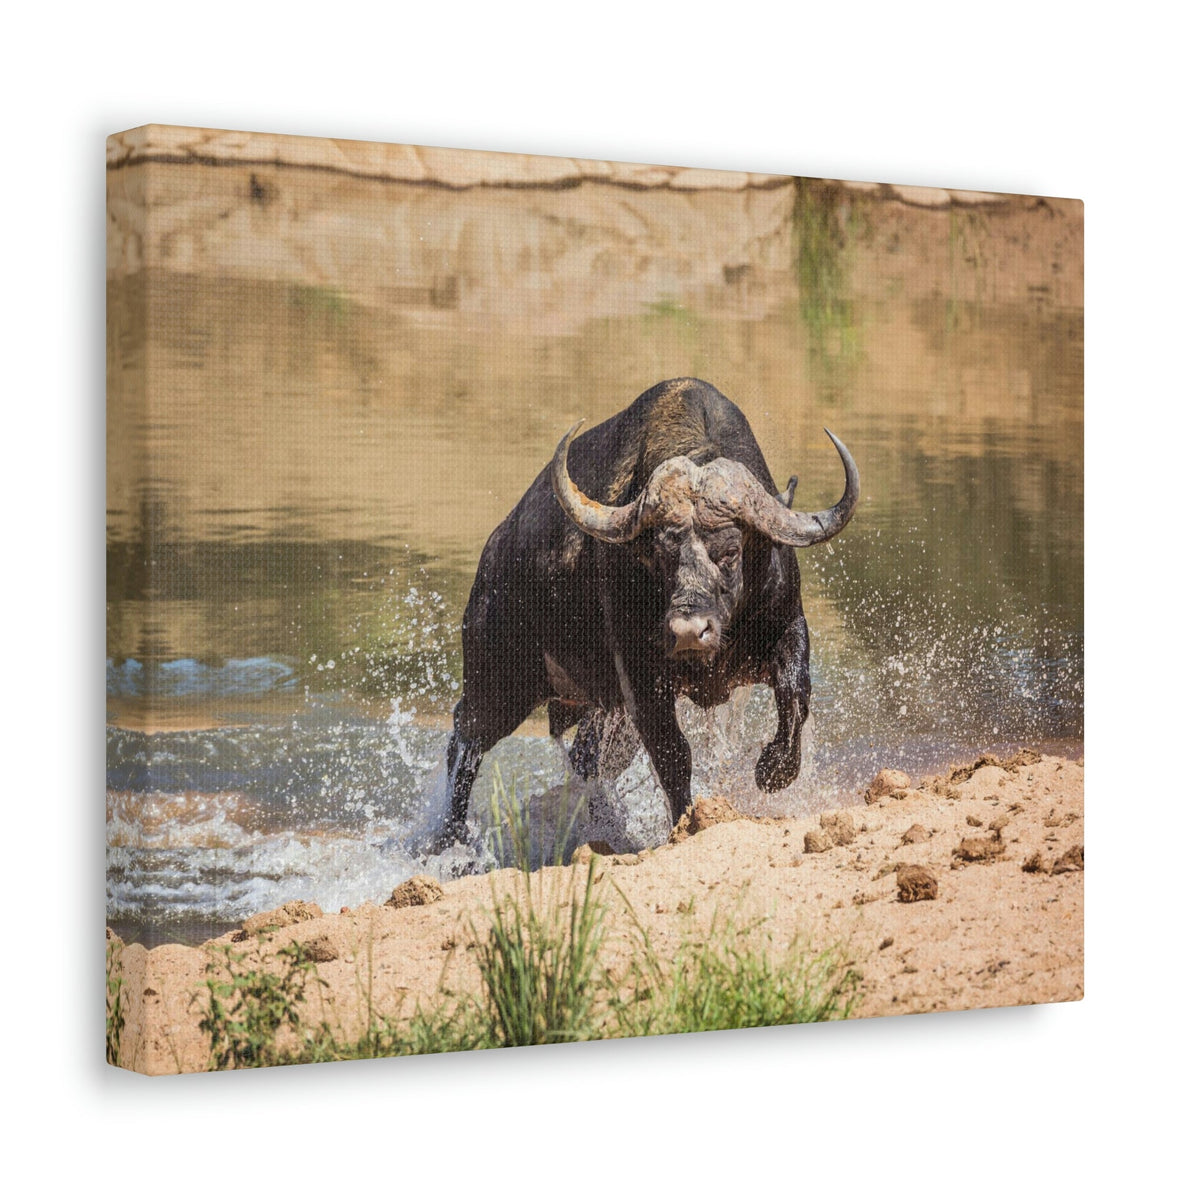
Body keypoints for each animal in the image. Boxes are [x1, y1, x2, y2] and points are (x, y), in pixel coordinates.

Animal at [438, 378, 859, 847]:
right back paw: (450, 839)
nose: (689, 631)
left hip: (599, 708)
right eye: (660, 554)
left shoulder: (787, 626)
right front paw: (688, 821)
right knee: (465, 742)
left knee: (586, 758)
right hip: (498, 681)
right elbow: (673, 753)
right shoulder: (640, 675)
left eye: (730, 551)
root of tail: (494, 553)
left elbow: (794, 696)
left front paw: (774, 771)